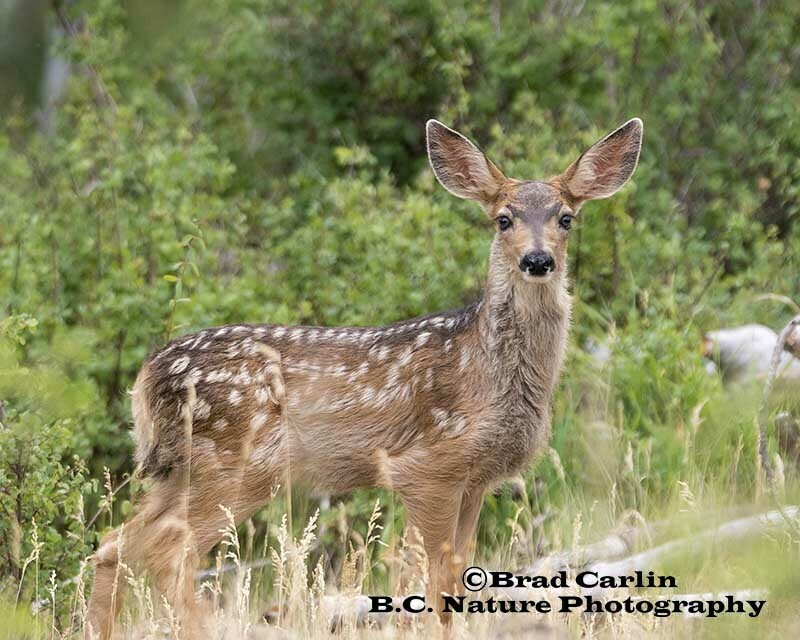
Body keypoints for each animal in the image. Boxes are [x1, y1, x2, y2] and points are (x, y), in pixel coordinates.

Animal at [85, 117, 643, 639]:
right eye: (503, 219)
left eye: (566, 218)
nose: (537, 260)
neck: (489, 371)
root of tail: (145, 376)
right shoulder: (427, 465)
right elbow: (431, 582)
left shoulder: (475, 479)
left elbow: (456, 580)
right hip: (237, 460)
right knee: (166, 550)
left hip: (179, 468)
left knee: (114, 544)